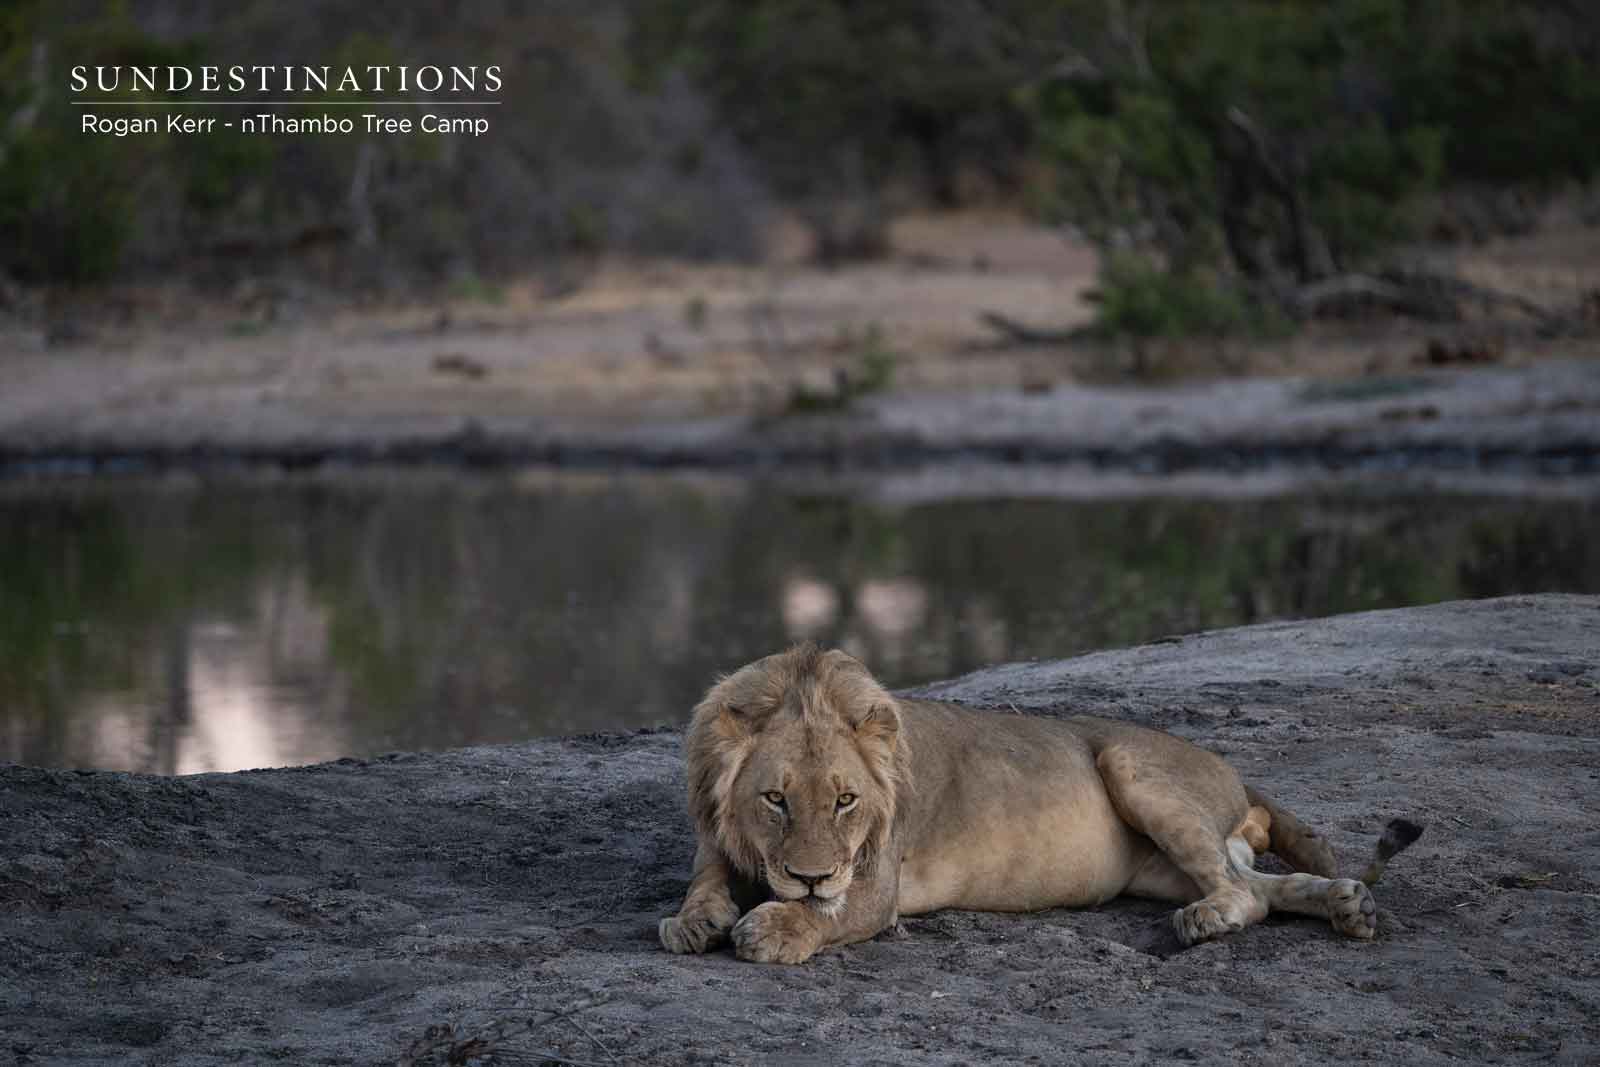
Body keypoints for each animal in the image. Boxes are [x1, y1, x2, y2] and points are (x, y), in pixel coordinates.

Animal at [659, 644, 1422, 964]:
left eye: (846, 800)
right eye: (775, 799)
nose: (811, 877)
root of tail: (1233, 770)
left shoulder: (876, 883)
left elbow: (831, 913)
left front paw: (772, 927)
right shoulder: (716, 835)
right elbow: (703, 879)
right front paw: (694, 920)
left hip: (1129, 764)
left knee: (1242, 894)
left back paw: (1210, 920)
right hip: (1157, 867)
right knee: (1259, 885)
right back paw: (1350, 905)